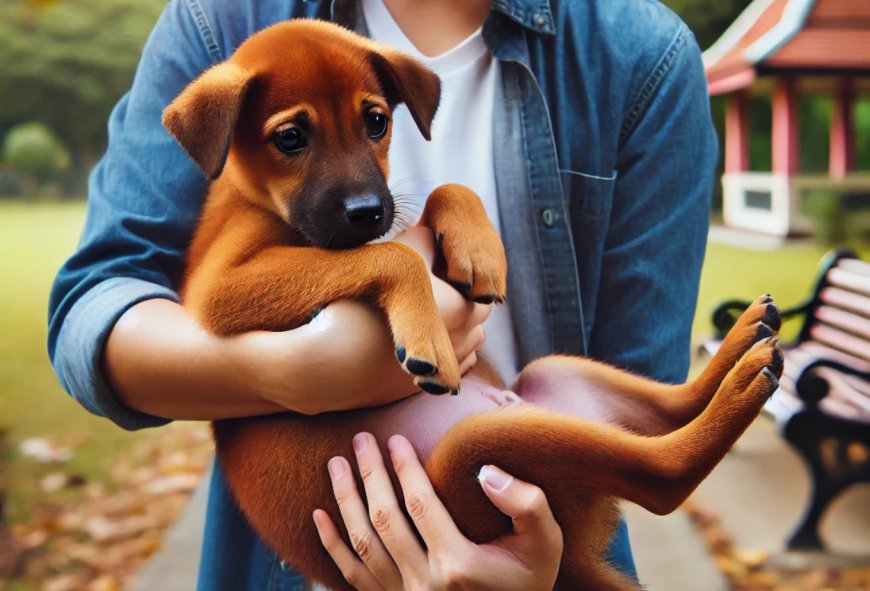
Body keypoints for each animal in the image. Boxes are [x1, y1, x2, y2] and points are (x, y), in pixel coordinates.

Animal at [162, 19, 784, 591]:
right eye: (290, 138)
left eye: (376, 122)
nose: (367, 211)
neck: (254, 196)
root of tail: (571, 558)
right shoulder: (221, 288)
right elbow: (392, 252)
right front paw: (429, 335)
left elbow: (443, 191)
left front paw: (479, 249)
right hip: (481, 453)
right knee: (663, 477)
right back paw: (741, 382)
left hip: (556, 376)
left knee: (669, 408)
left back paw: (746, 343)